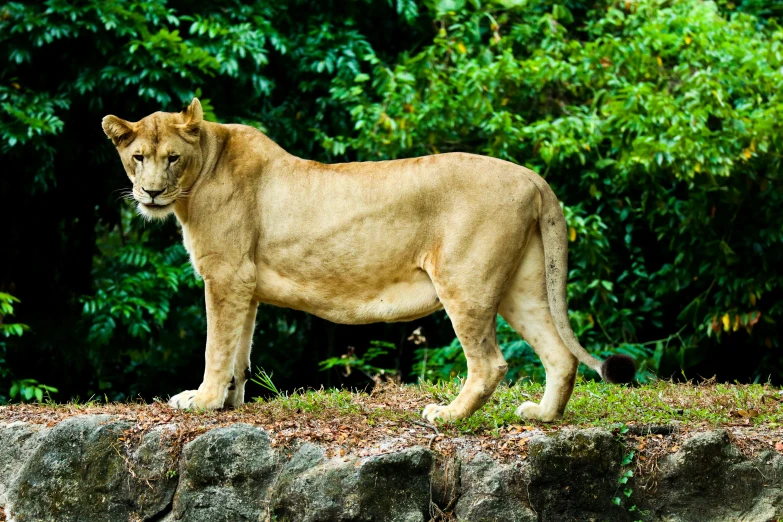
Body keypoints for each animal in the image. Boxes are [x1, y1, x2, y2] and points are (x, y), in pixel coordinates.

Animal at [101, 97, 636, 420]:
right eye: (137, 158)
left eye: (172, 158)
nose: (150, 193)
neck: (201, 173)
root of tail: (534, 177)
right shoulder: (244, 284)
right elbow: (239, 351)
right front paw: (228, 402)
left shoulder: (225, 275)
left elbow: (217, 346)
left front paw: (203, 401)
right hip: (519, 288)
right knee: (560, 353)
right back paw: (543, 415)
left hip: (466, 282)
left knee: (490, 364)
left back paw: (448, 417)